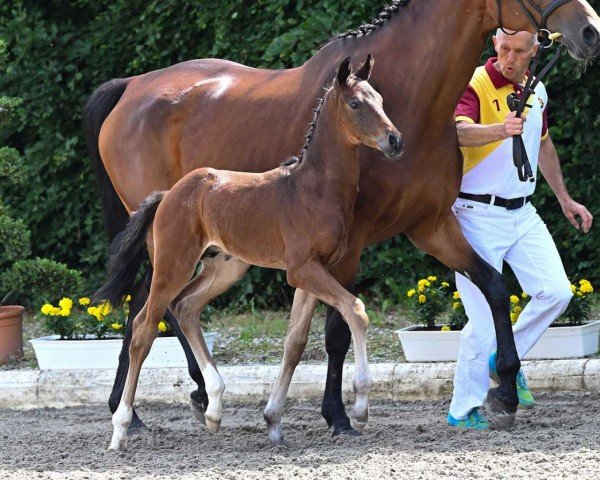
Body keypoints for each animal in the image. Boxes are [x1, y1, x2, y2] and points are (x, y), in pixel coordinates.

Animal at [99, 57, 404, 450]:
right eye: (355, 103)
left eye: (379, 99)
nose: (395, 140)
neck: (314, 188)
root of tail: (166, 195)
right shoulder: (303, 270)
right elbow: (356, 310)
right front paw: (361, 409)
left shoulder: (313, 273)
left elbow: (295, 342)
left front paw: (273, 421)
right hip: (173, 265)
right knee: (144, 329)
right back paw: (121, 428)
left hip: (224, 269)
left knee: (186, 307)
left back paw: (214, 407)